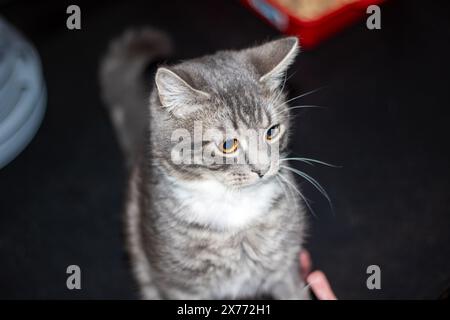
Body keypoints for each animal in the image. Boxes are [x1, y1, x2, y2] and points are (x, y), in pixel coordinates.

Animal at [100, 28, 308, 300]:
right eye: (228, 145)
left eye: (272, 131)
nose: (263, 169)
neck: (235, 205)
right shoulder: (181, 287)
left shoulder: (284, 267)